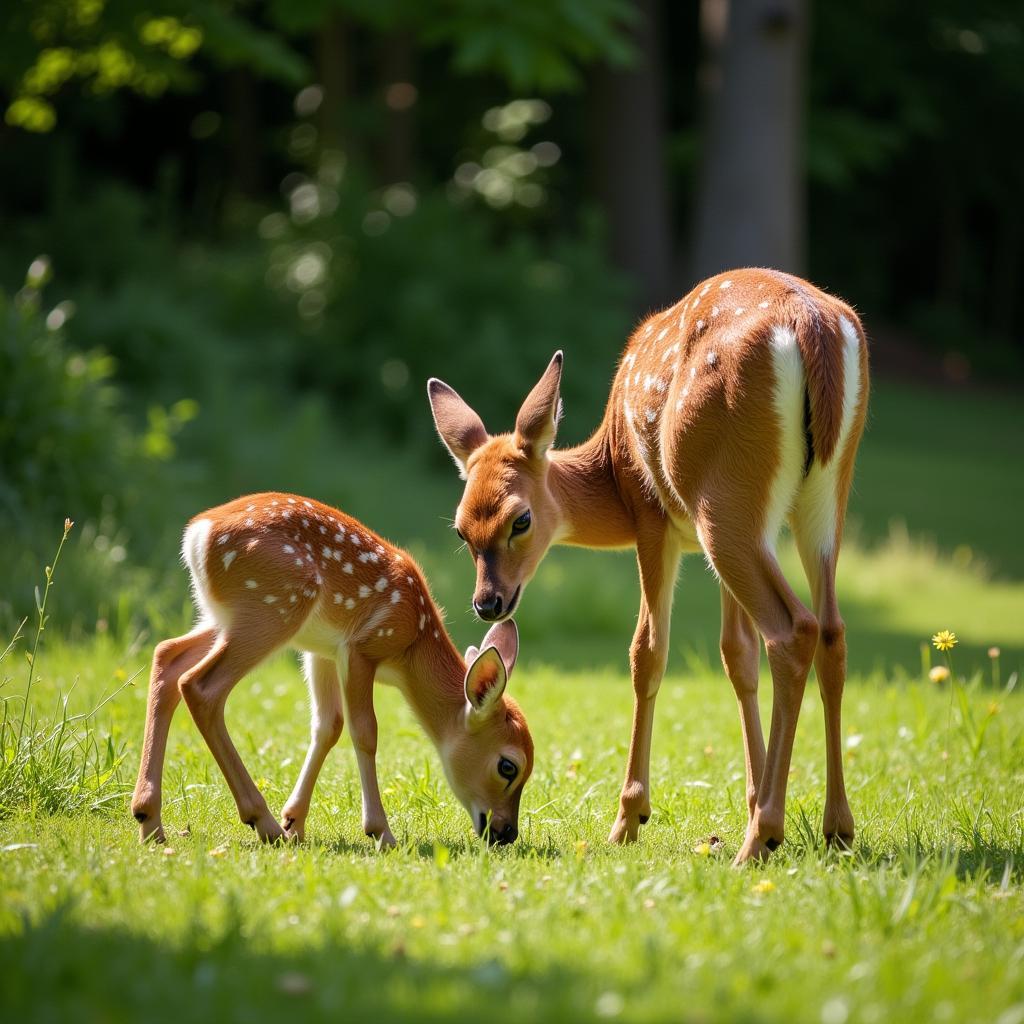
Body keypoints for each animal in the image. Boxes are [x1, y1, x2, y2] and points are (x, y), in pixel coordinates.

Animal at [131, 495, 532, 847]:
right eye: (508, 766)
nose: (506, 833)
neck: (411, 648)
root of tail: (197, 535)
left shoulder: (321, 651)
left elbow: (328, 725)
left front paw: (296, 822)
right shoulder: (363, 647)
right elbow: (365, 731)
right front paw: (379, 832)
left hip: (224, 616)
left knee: (168, 656)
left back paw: (149, 820)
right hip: (274, 606)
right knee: (200, 685)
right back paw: (262, 822)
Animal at [428, 268, 868, 860]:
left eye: (520, 520)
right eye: (460, 529)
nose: (487, 603)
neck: (611, 470)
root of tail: (812, 326)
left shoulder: (650, 515)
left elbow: (647, 652)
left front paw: (629, 819)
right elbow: (737, 655)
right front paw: (753, 794)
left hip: (723, 503)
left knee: (794, 628)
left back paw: (760, 839)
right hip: (814, 498)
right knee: (830, 632)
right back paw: (834, 826)